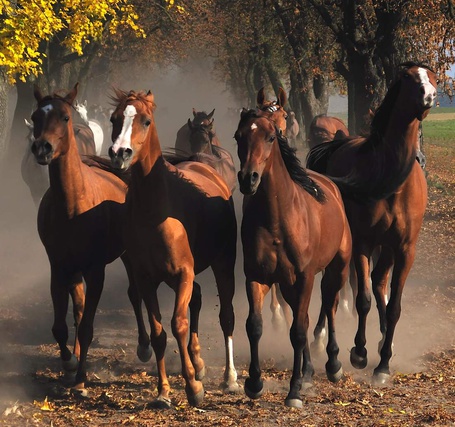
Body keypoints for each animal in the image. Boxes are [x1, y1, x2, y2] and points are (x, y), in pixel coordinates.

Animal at [29, 83, 150, 398]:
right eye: (35, 117)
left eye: (65, 117)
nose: (42, 148)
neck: (74, 204)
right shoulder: (59, 267)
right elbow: (62, 325)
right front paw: (70, 363)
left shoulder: (96, 270)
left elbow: (86, 327)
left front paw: (82, 381)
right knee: (79, 309)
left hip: (127, 255)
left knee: (135, 294)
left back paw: (144, 347)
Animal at [108, 87, 240, 408]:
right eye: (114, 118)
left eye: (145, 120)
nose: (119, 153)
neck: (157, 213)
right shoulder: (146, 279)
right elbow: (158, 333)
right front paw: (163, 392)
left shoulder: (183, 274)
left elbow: (178, 324)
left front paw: (193, 388)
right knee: (199, 298)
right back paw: (198, 363)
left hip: (223, 262)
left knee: (226, 315)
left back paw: (230, 378)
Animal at [235, 108, 352, 410]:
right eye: (239, 136)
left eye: (270, 137)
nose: (248, 178)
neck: (278, 218)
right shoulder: (257, 277)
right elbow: (255, 325)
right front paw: (254, 383)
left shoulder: (304, 278)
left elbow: (297, 332)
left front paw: (295, 391)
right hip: (288, 286)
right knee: (308, 317)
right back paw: (309, 371)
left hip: (336, 270)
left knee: (330, 307)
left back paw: (333, 364)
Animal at [306, 61, 438, 386]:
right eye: (408, 77)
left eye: (433, 77)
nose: (429, 95)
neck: (390, 177)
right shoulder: (363, 243)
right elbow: (362, 298)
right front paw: (359, 353)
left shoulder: (404, 249)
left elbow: (393, 307)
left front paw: (384, 364)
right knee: (337, 288)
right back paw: (320, 337)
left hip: (387, 248)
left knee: (379, 283)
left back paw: (382, 340)